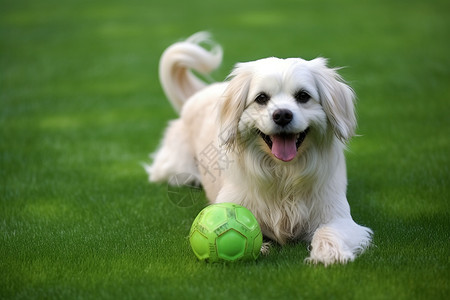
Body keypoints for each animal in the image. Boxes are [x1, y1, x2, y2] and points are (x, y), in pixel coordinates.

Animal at [148, 31, 372, 264]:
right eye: (262, 98)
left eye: (303, 96)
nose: (282, 115)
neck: (284, 173)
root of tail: (198, 94)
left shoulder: (338, 216)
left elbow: (328, 231)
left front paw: (328, 254)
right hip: (178, 171)